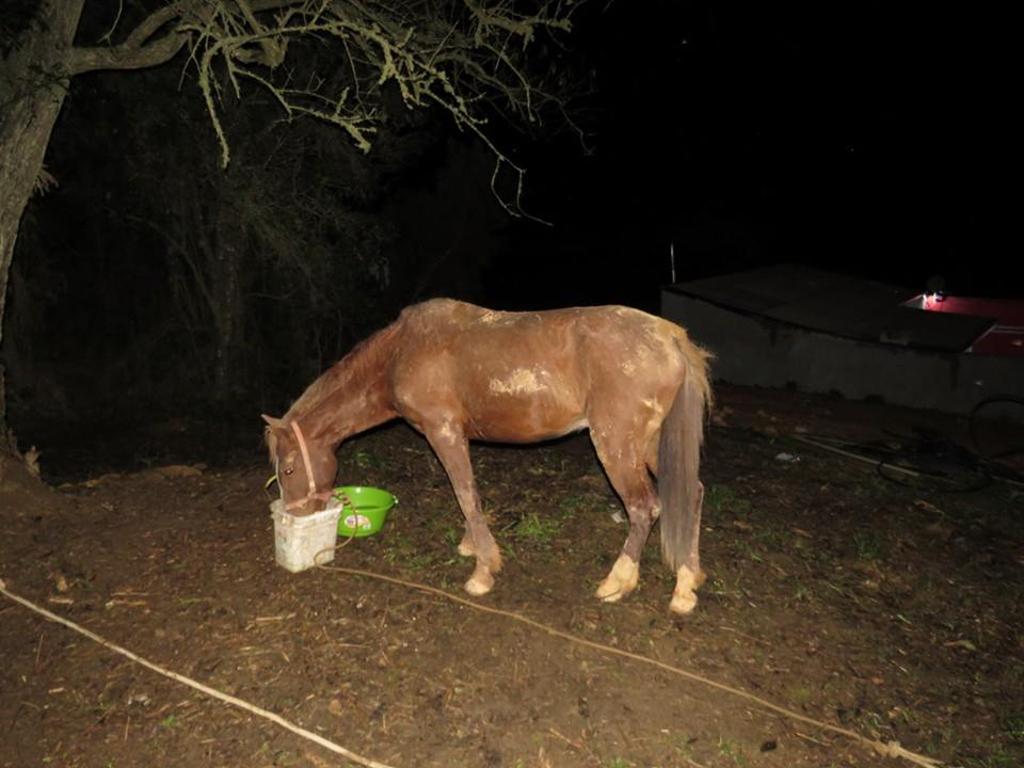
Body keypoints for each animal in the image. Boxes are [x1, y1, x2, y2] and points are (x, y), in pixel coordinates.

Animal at [263, 298, 712, 613]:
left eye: (289, 468)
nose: (295, 516)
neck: (400, 353)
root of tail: (671, 337)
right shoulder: (459, 435)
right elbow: (470, 496)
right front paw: (472, 547)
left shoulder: (443, 432)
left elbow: (465, 494)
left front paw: (482, 572)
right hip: (651, 444)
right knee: (692, 494)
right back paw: (685, 587)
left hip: (616, 445)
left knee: (644, 506)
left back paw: (618, 581)